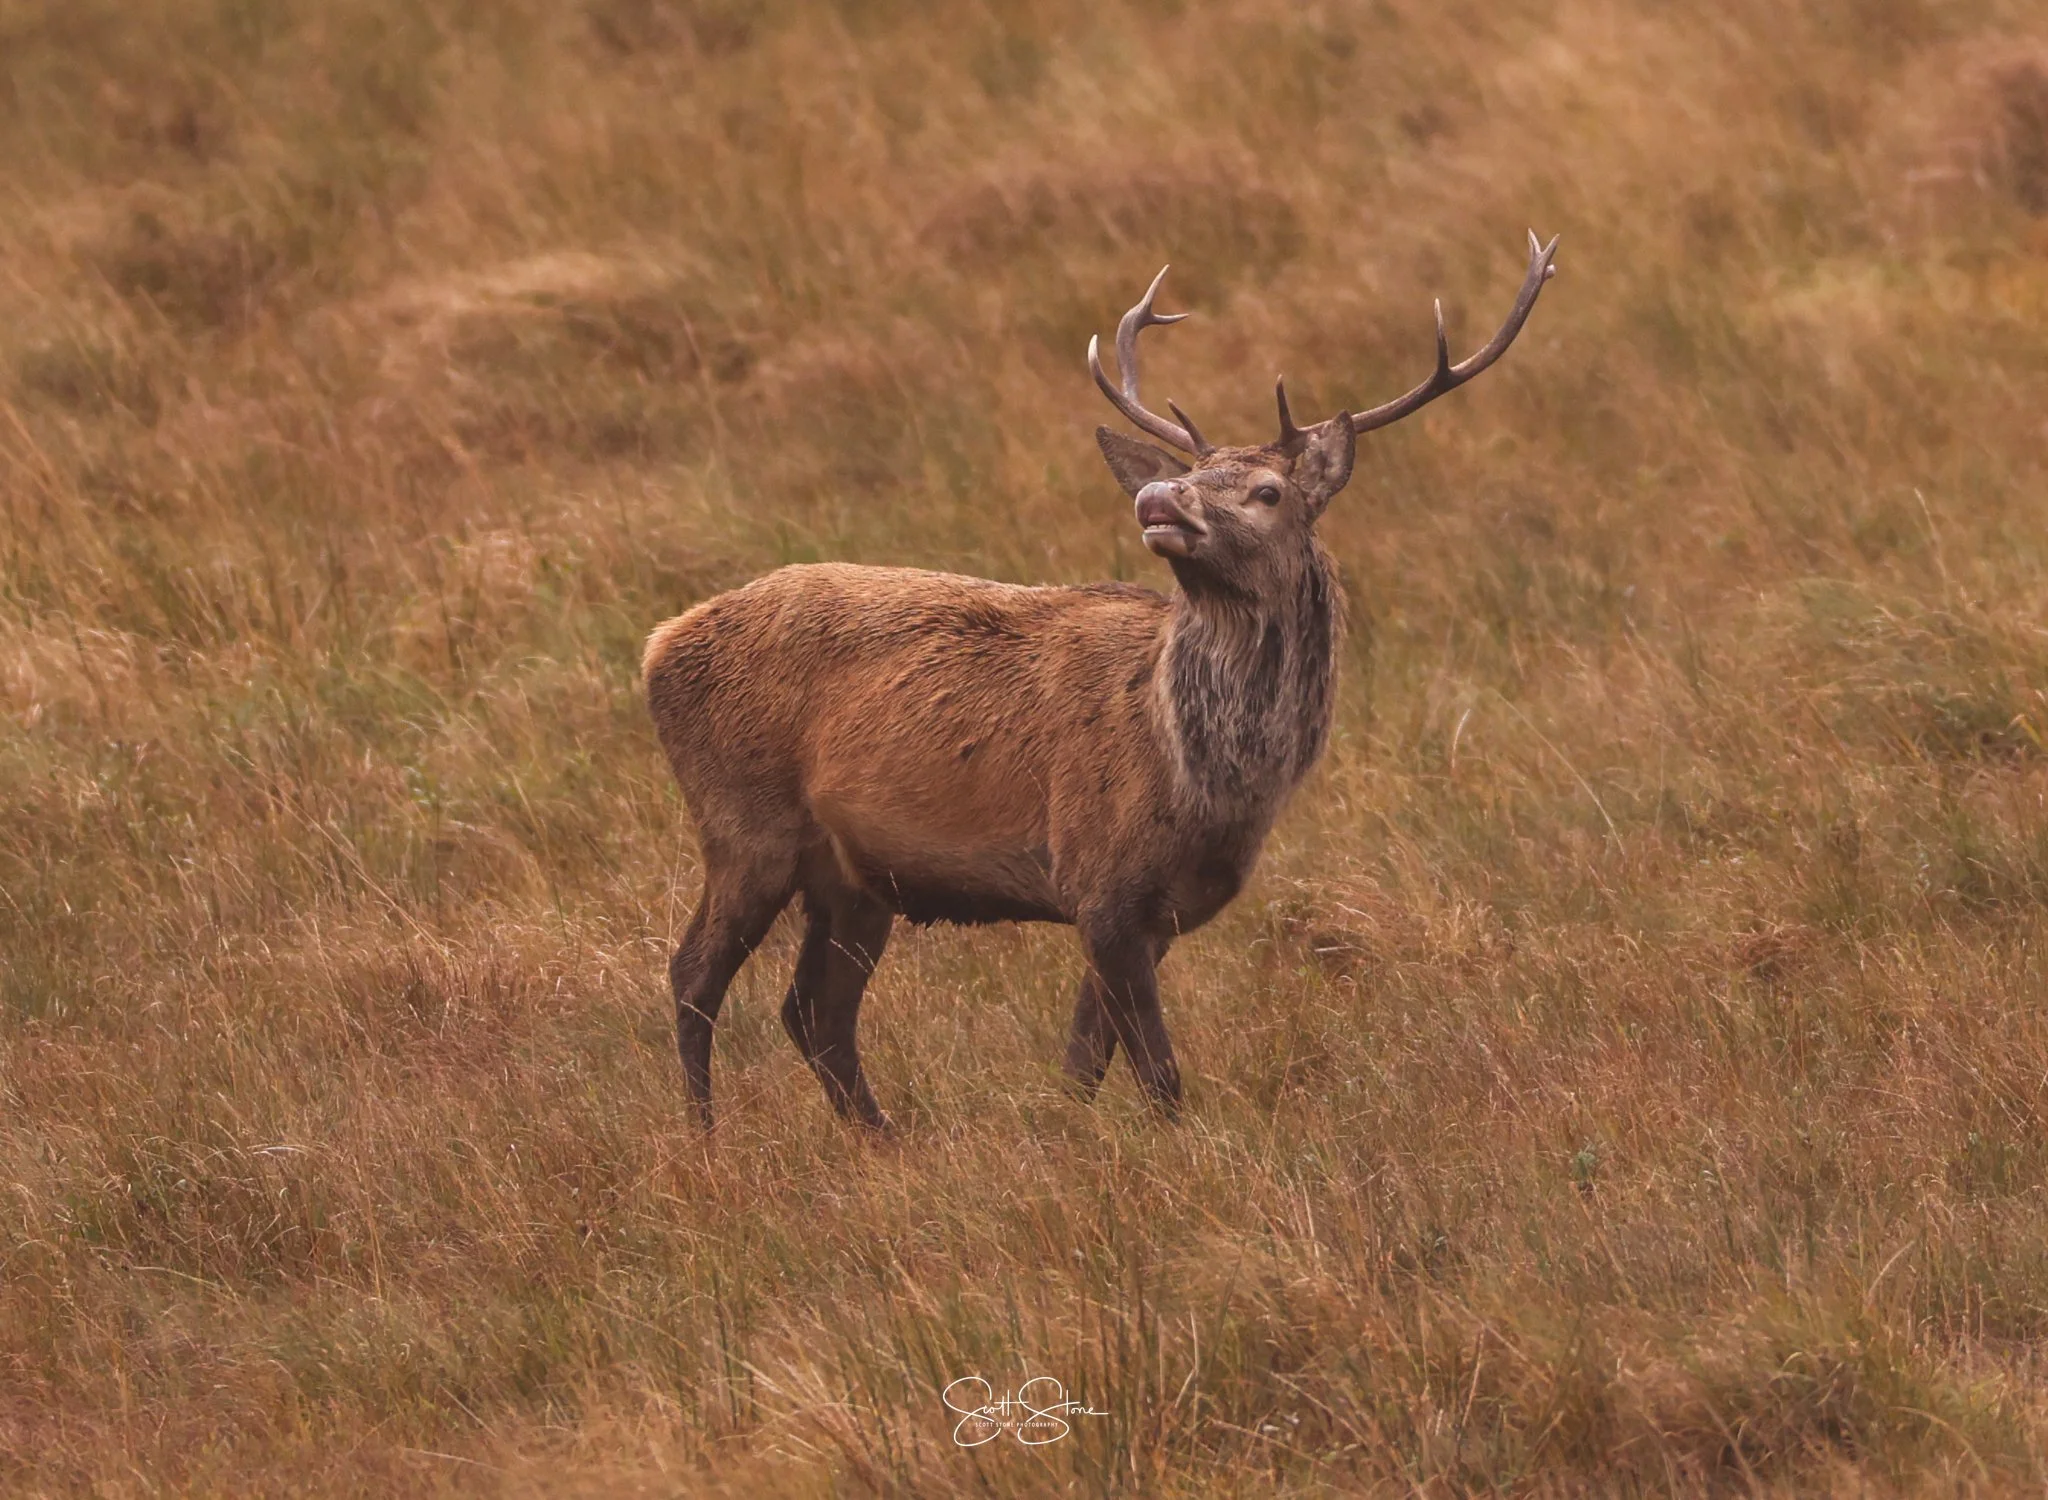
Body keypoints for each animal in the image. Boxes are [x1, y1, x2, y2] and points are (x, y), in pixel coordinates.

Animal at [644, 232, 1559, 1130]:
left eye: (1267, 491)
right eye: (1193, 476)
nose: (1159, 494)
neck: (1205, 779)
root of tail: (658, 648)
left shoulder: (1151, 912)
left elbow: (1085, 1062)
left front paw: (1071, 1143)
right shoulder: (1100, 877)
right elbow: (1159, 1077)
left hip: (854, 875)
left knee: (815, 1011)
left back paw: (883, 1140)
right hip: (744, 824)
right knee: (695, 976)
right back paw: (706, 1135)